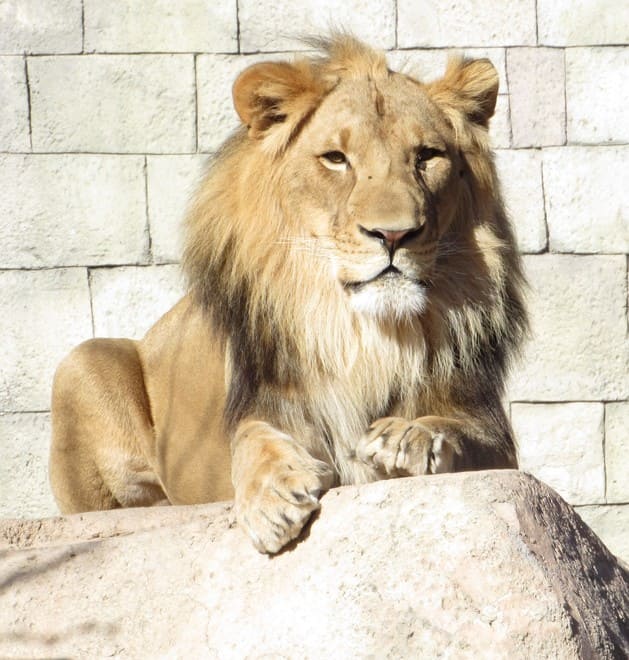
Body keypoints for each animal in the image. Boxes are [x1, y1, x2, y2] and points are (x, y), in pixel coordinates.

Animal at [50, 35, 527, 554]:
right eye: (336, 158)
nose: (394, 234)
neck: (363, 334)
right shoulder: (266, 406)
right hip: (83, 362)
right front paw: (271, 495)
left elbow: (463, 431)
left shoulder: (493, 434)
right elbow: (251, 438)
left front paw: (409, 437)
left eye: (426, 156)